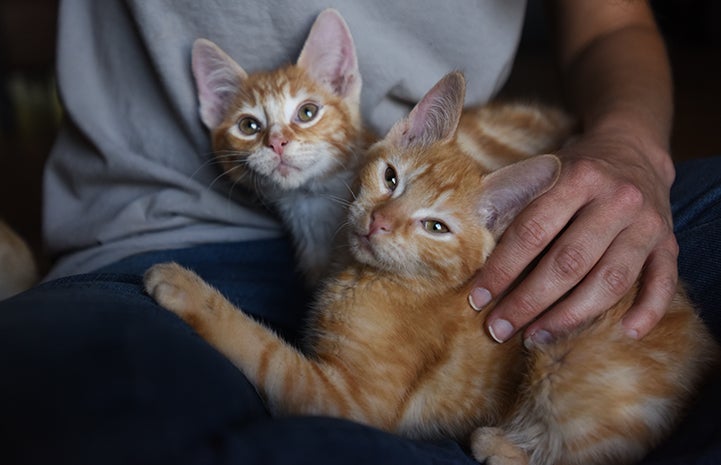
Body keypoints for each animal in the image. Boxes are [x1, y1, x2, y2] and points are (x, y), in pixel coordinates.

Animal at [142, 70, 716, 462]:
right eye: (391, 178)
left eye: (435, 227)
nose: (379, 223)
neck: (368, 277)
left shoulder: (349, 403)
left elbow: (264, 350)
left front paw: (185, 287)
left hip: (564, 360)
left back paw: (498, 444)